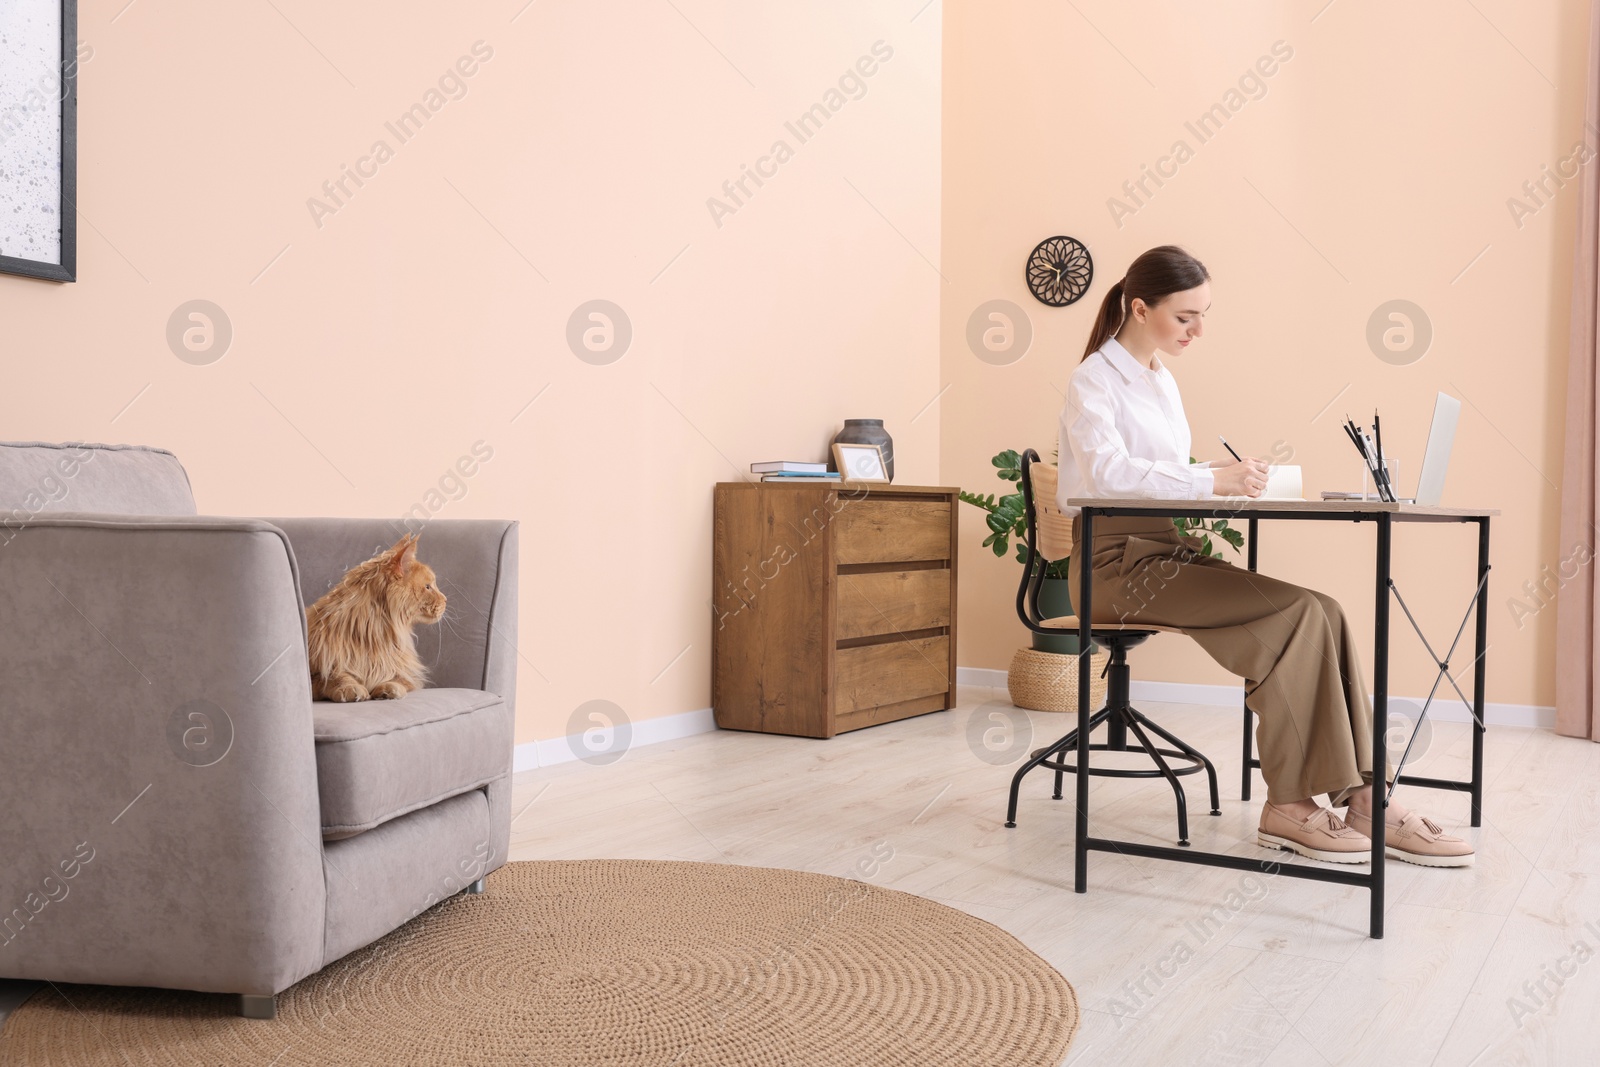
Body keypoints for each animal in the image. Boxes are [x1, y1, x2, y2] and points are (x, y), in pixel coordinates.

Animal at [305, 531, 448, 700]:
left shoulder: (407, 674)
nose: (446, 599)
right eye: (428, 587)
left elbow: (397, 679)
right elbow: (335, 676)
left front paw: (388, 689)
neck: (374, 635)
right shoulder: (314, 673)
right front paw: (351, 687)